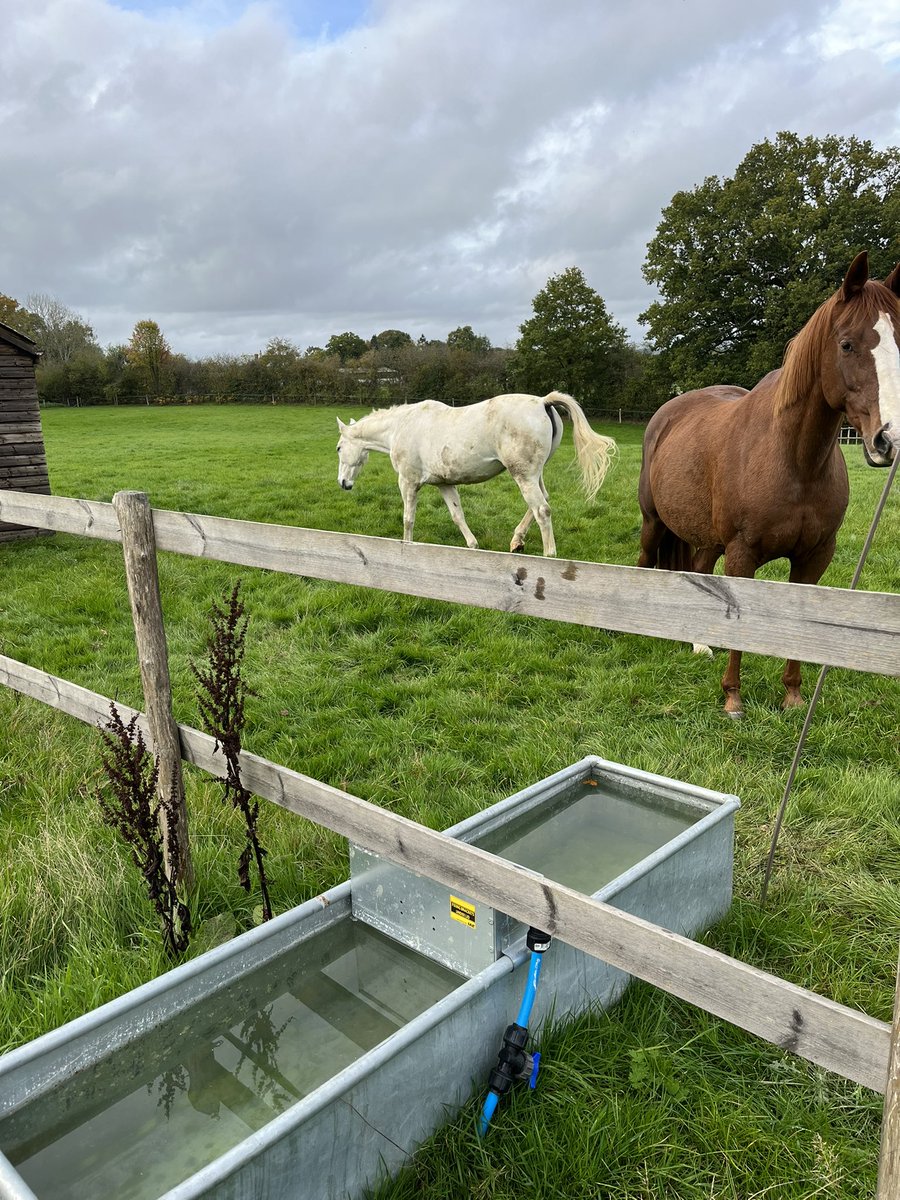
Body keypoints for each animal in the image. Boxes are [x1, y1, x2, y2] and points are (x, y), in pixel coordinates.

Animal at [336, 391, 616, 557]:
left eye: (339, 448)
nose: (343, 483)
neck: (400, 426)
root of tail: (542, 402)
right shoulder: (445, 484)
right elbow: (457, 515)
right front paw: (473, 546)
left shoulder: (408, 482)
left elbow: (408, 519)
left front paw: (408, 547)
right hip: (534, 475)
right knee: (542, 501)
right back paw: (517, 541)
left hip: (523, 476)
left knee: (542, 510)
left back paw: (549, 556)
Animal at [637, 251, 900, 718]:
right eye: (847, 344)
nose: (890, 437)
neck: (794, 461)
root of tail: (666, 412)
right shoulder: (742, 554)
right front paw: (733, 699)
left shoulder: (814, 557)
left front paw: (793, 696)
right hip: (654, 523)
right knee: (644, 560)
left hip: (708, 539)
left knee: (699, 572)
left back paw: (701, 643)